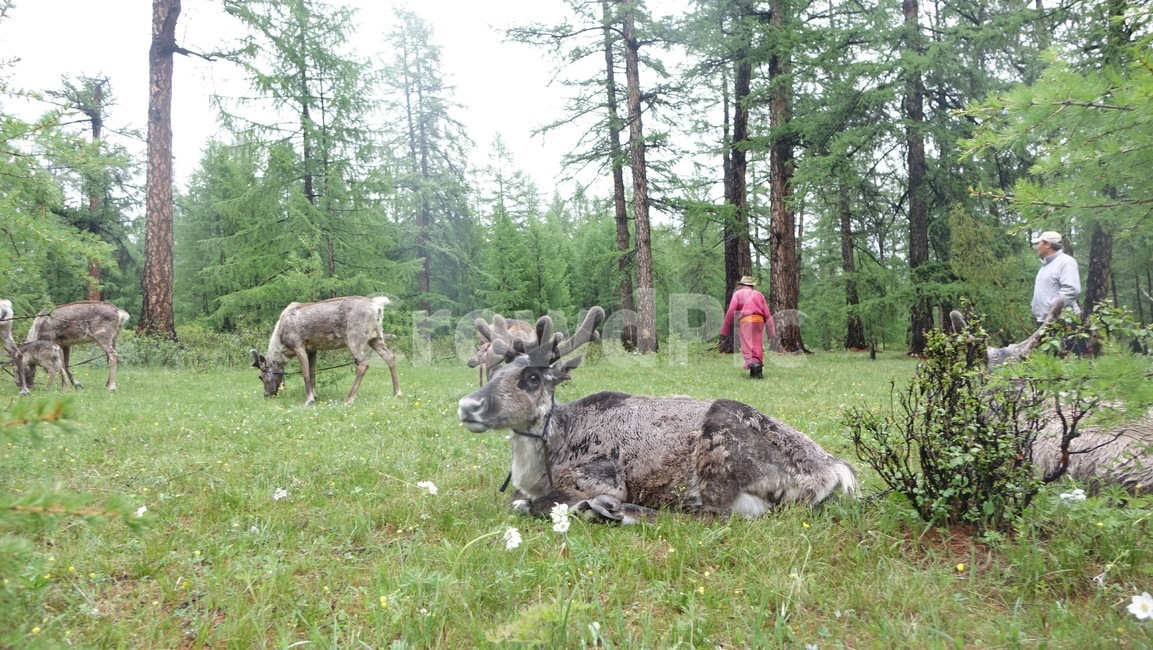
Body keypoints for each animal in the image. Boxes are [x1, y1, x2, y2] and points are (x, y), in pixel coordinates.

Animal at [250, 296, 400, 406]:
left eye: (261, 376)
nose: (266, 395)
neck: (282, 344)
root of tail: (377, 306)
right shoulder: (312, 349)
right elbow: (312, 373)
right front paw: (314, 396)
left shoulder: (298, 345)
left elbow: (305, 373)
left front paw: (308, 400)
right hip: (376, 337)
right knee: (390, 357)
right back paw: (397, 393)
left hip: (354, 339)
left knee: (363, 364)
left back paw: (349, 399)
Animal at [457, 306, 859, 524]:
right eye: (494, 372)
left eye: (532, 377)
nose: (467, 406)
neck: (546, 457)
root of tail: (836, 469)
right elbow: (516, 499)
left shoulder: (599, 478)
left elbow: (528, 505)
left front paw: (589, 505)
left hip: (720, 441)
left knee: (709, 516)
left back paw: (615, 511)